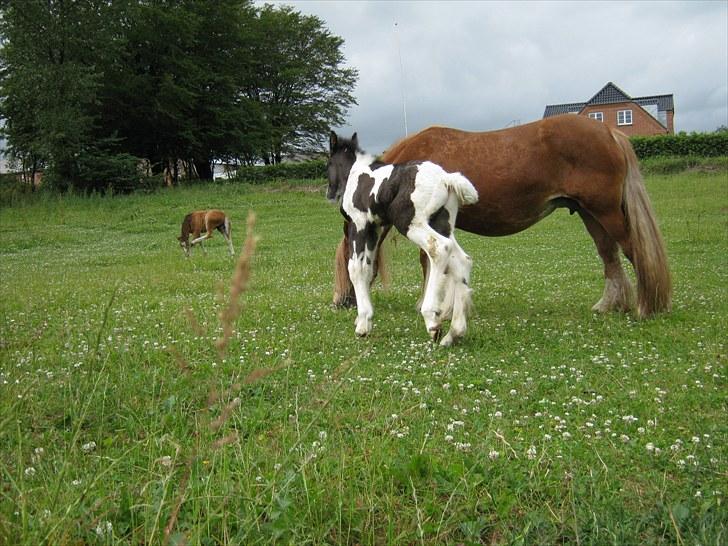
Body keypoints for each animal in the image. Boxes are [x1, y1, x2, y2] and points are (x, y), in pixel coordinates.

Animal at [328, 130, 478, 346]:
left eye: (329, 162)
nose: (330, 194)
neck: (356, 173)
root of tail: (446, 178)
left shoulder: (360, 224)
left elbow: (356, 269)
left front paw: (362, 324)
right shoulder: (374, 228)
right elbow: (368, 268)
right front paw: (365, 320)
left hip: (410, 223)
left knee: (439, 248)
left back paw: (432, 320)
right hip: (443, 224)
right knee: (461, 260)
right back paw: (454, 333)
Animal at [332, 116, 672, 318]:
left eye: (344, 259)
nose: (340, 301)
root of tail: (608, 131)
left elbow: (429, 262)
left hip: (606, 212)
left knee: (633, 251)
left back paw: (646, 307)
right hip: (591, 214)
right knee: (609, 255)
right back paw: (608, 305)